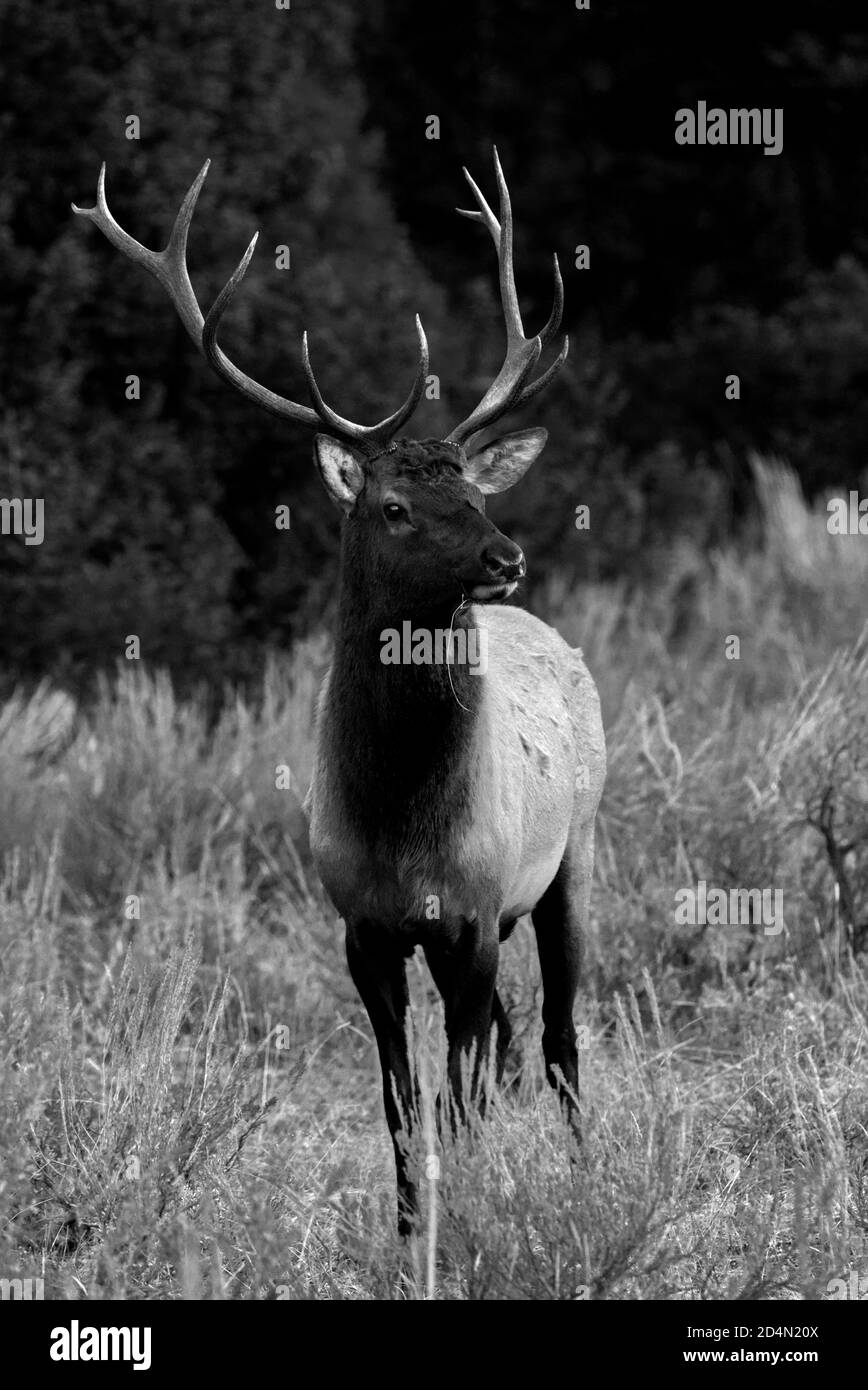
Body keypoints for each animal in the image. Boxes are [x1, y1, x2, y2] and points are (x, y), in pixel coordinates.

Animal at [73, 152, 603, 1234]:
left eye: (473, 490)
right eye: (393, 506)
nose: (506, 556)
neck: (405, 822)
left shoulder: (473, 912)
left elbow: (457, 1099)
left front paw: (462, 1220)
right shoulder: (363, 924)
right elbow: (401, 1101)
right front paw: (408, 1233)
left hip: (578, 851)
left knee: (561, 1041)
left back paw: (587, 1180)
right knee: (515, 1043)